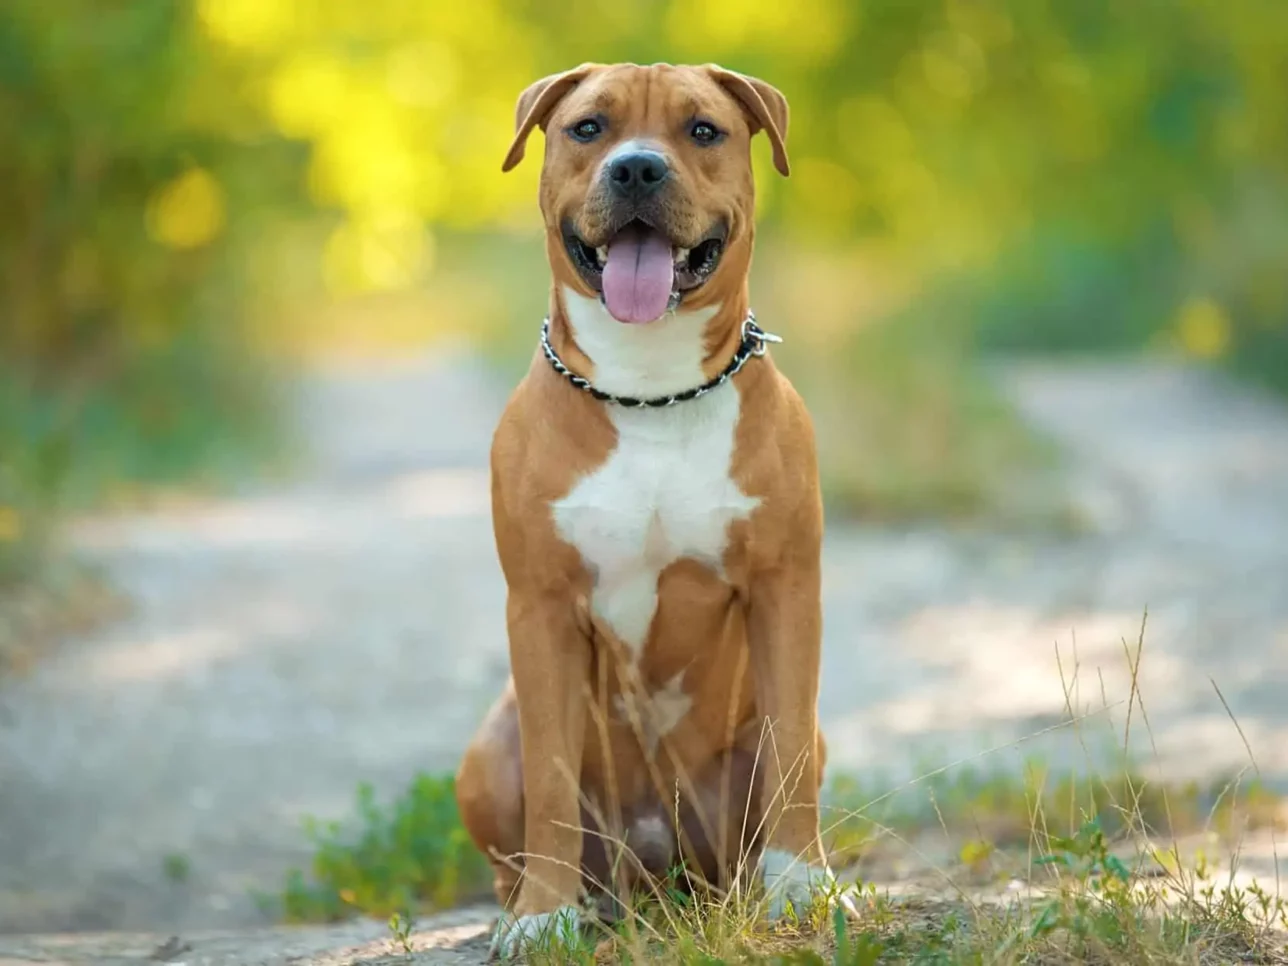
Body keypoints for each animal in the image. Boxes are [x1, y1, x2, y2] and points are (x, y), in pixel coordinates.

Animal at [453, 62, 844, 963]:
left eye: (702, 130)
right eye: (588, 127)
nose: (636, 168)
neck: (650, 386)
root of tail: (655, 858)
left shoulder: (786, 587)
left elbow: (788, 749)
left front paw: (803, 884)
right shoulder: (542, 609)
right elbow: (552, 779)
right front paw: (542, 914)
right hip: (487, 752)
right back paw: (539, 900)